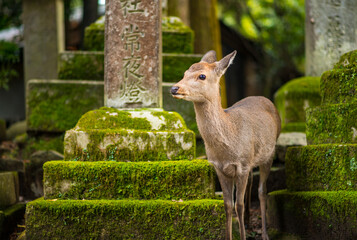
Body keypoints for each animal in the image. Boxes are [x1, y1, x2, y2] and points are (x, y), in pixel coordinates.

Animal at [170, 49, 280, 239]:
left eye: (202, 76)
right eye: (184, 73)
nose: (174, 88)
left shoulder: (242, 164)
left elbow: (239, 205)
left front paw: (243, 236)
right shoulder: (219, 167)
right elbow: (228, 205)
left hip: (269, 154)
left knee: (261, 191)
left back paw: (264, 233)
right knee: (252, 183)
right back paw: (249, 222)